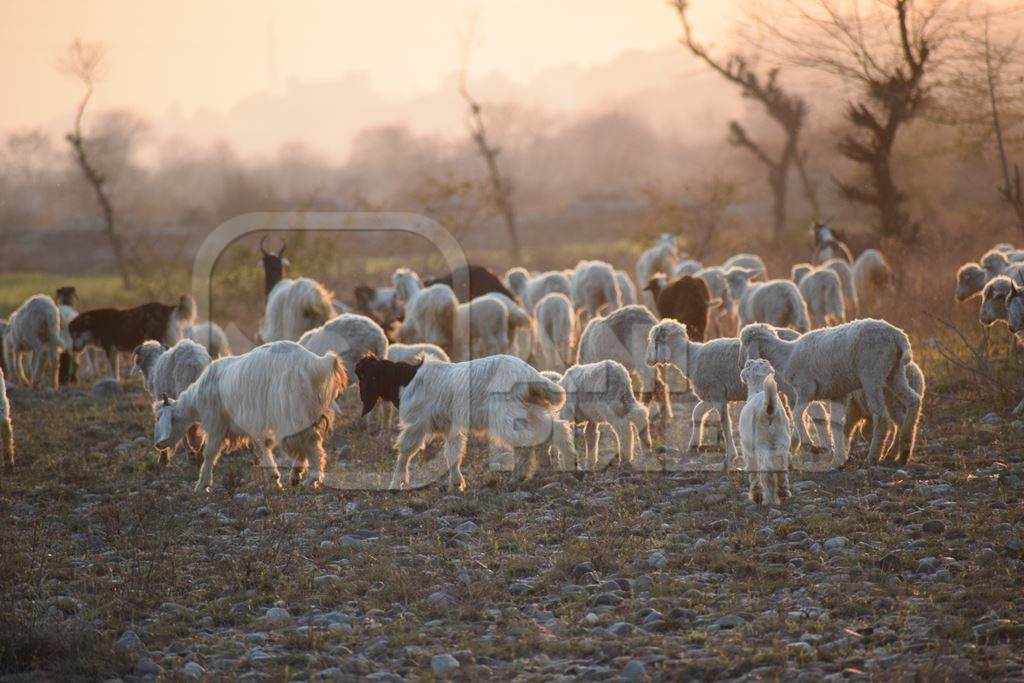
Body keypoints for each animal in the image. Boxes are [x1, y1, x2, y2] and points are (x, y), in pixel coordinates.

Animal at [149, 339, 346, 491]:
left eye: (159, 418)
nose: (158, 445)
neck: (198, 397)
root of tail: (314, 363)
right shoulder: (252, 424)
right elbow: (262, 446)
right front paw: (274, 478)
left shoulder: (216, 423)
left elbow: (210, 453)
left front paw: (202, 484)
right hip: (305, 410)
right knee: (306, 439)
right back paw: (297, 475)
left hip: (290, 409)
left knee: (309, 440)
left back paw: (311, 478)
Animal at [352, 352, 577, 491]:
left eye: (362, 375)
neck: (406, 379)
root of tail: (529, 374)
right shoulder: (451, 426)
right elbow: (453, 453)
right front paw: (457, 483)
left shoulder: (417, 424)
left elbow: (406, 451)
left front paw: (395, 483)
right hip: (530, 409)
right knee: (556, 429)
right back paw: (570, 463)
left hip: (506, 414)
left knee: (524, 443)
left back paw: (517, 477)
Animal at [737, 321, 921, 464]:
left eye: (743, 343)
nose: (741, 365)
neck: (786, 355)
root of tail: (897, 335)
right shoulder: (837, 394)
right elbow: (836, 424)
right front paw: (836, 457)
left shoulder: (806, 389)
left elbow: (796, 415)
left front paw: (810, 445)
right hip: (894, 372)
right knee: (914, 401)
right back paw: (904, 450)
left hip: (872, 373)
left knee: (881, 416)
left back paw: (874, 456)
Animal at [741, 358, 794, 507]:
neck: (758, 389)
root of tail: (769, 408)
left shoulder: (748, 450)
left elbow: (753, 472)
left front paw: (756, 494)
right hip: (781, 441)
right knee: (781, 467)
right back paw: (783, 493)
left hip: (762, 444)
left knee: (767, 470)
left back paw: (768, 499)